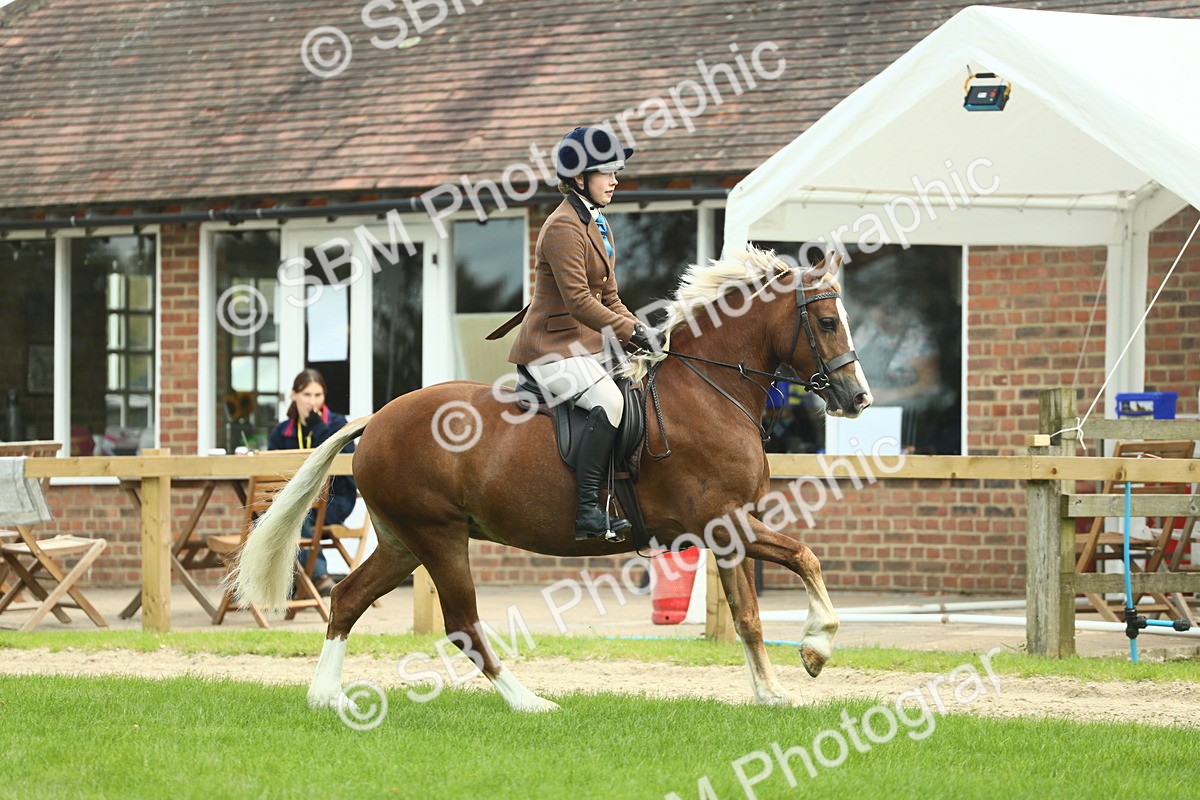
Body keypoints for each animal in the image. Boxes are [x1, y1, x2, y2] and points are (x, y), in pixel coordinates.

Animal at [230, 247, 873, 713]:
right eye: (825, 321)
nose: (858, 398)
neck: (708, 391)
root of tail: (378, 418)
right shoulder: (724, 522)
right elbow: (803, 560)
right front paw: (816, 649)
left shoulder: (731, 531)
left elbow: (749, 614)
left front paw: (772, 692)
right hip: (439, 536)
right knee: (463, 624)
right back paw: (530, 703)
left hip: (402, 542)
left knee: (346, 599)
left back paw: (325, 696)